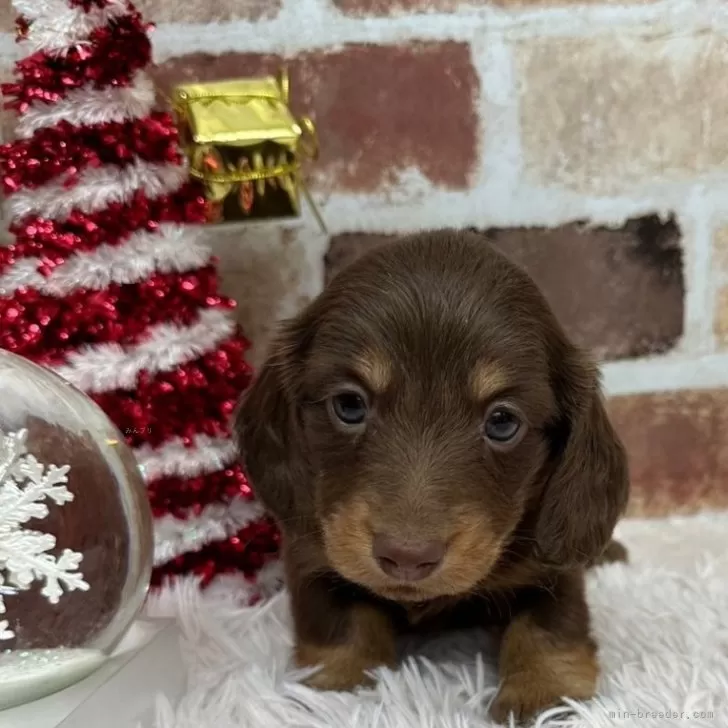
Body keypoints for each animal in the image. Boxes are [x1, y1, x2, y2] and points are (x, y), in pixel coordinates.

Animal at [235, 232, 632, 724]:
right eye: (349, 405)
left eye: (503, 422)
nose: (407, 557)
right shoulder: (312, 554)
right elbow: (338, 626)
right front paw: (336, 691)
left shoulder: (551, 570)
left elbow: (548, 628)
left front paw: (543, 695)